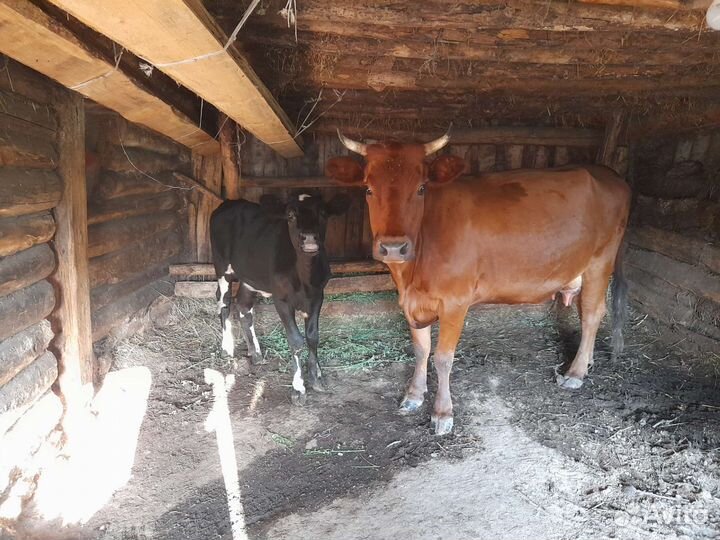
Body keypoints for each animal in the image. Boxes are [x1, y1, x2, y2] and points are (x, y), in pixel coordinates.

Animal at [210, 192, 350, 404]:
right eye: (290, 215)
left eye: (323, 213)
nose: (309, 238)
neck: (305, 279)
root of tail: (230, 203)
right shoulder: (281, 300)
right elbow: (296, 340)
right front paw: (298, 388)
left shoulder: (318, 295)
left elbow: (313, 336)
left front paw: (317, 377)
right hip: (222, 267)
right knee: (224, 302)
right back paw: (227, 348)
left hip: (250, 277)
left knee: (243, 306)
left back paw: (256, 353)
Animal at [326, 131, 631, 435]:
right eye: (368, 189)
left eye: (421, 188)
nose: (392, 248)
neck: (411, 275)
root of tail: (608, 173)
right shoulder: (411, 301)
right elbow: (421, 349)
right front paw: (413, 395)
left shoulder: (455, 301)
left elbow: (443, 357)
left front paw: (442, 412)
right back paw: (587, 361)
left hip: (600, 261)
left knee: (592, 313)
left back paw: (575, 373)